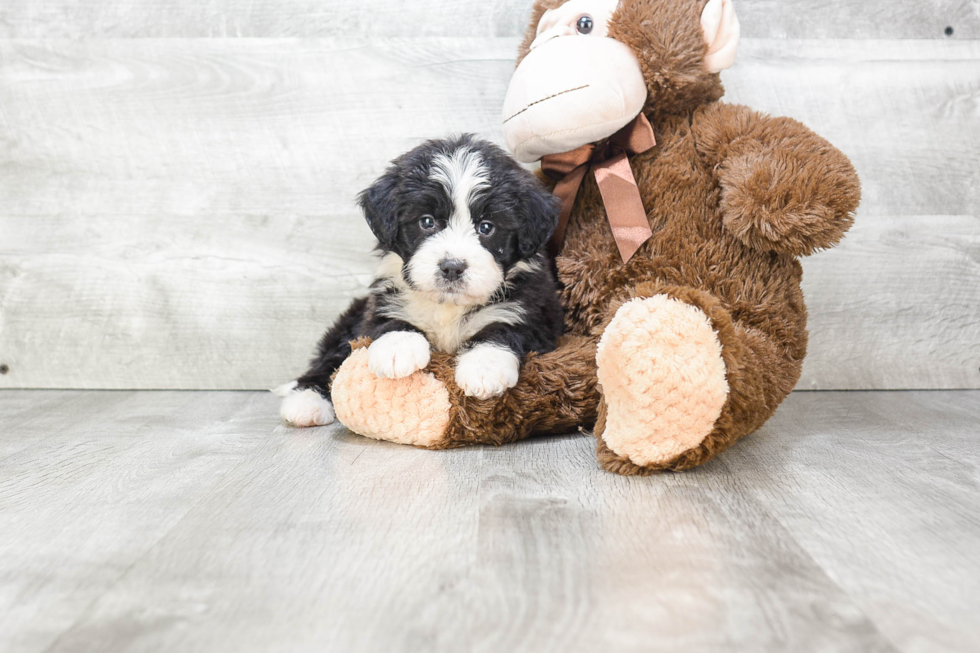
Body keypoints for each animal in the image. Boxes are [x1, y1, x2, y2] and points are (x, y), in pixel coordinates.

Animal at [280, 135, 564, 426]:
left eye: (486, 227)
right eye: (427, 222)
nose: (452, 267)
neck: (447, 307)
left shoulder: (536, 314)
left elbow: (502, 328)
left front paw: (484, 367)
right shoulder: (380, 304)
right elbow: (389, 321)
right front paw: (397, 348)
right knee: (331, 357)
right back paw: (306, 401)